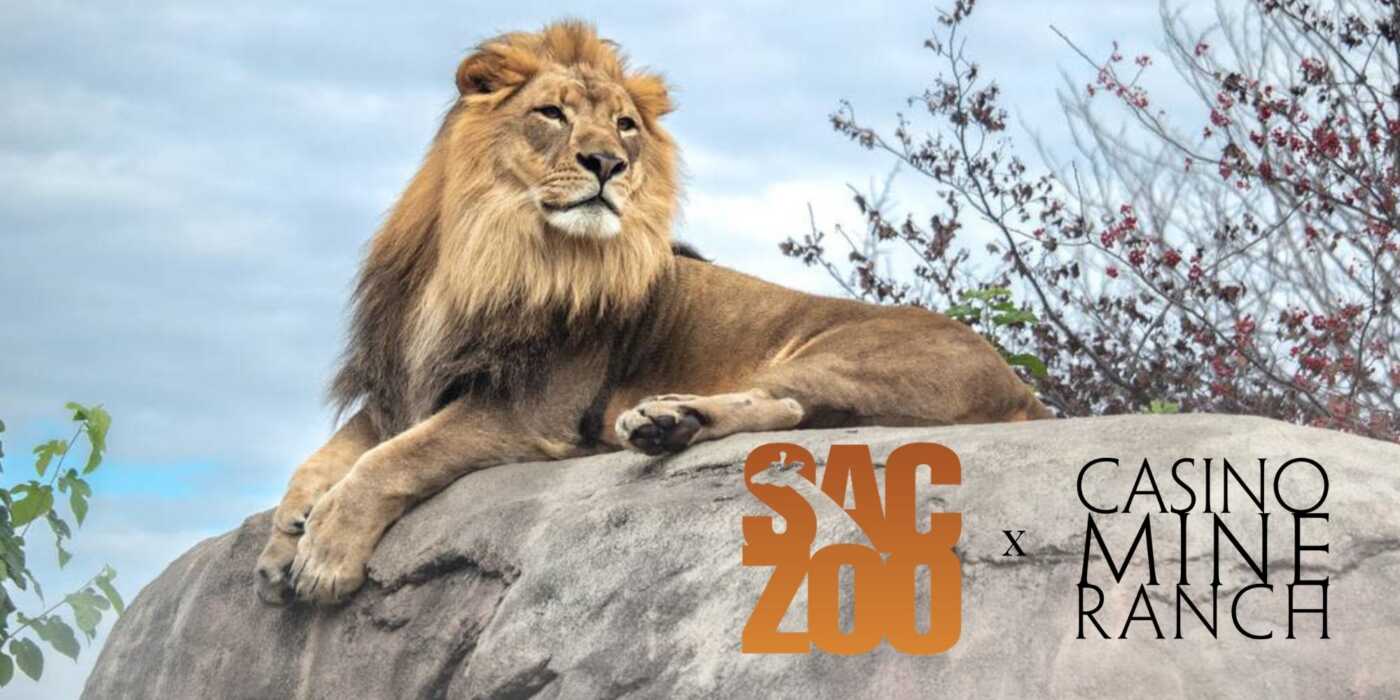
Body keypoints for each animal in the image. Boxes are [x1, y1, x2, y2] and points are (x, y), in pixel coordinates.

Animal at [254, 20, 1052, 605]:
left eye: (626, 126)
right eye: (551, 114)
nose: (608, 162)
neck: (496, 248)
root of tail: (1022, 388)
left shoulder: (527, 410)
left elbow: (393, 459)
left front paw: (324, 550)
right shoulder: (400, 387)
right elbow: (328, 454)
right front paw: (282, 538)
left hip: (842, 355)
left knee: (788, 406)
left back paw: (665, 420)